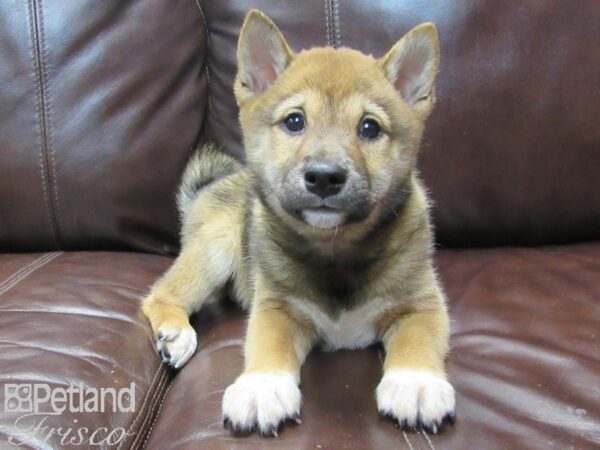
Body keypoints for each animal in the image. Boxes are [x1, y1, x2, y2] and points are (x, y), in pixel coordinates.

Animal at [143, 7, 454, 436]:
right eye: (294, 121)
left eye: (370, 127)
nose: (324, 177)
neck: (336, 251)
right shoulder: (277, 307)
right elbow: (266, 345)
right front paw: (262, 387)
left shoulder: (421, 303)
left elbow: (418, 340)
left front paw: (416, 383)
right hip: (214, 249)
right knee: (161, 295)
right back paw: (175, 333)